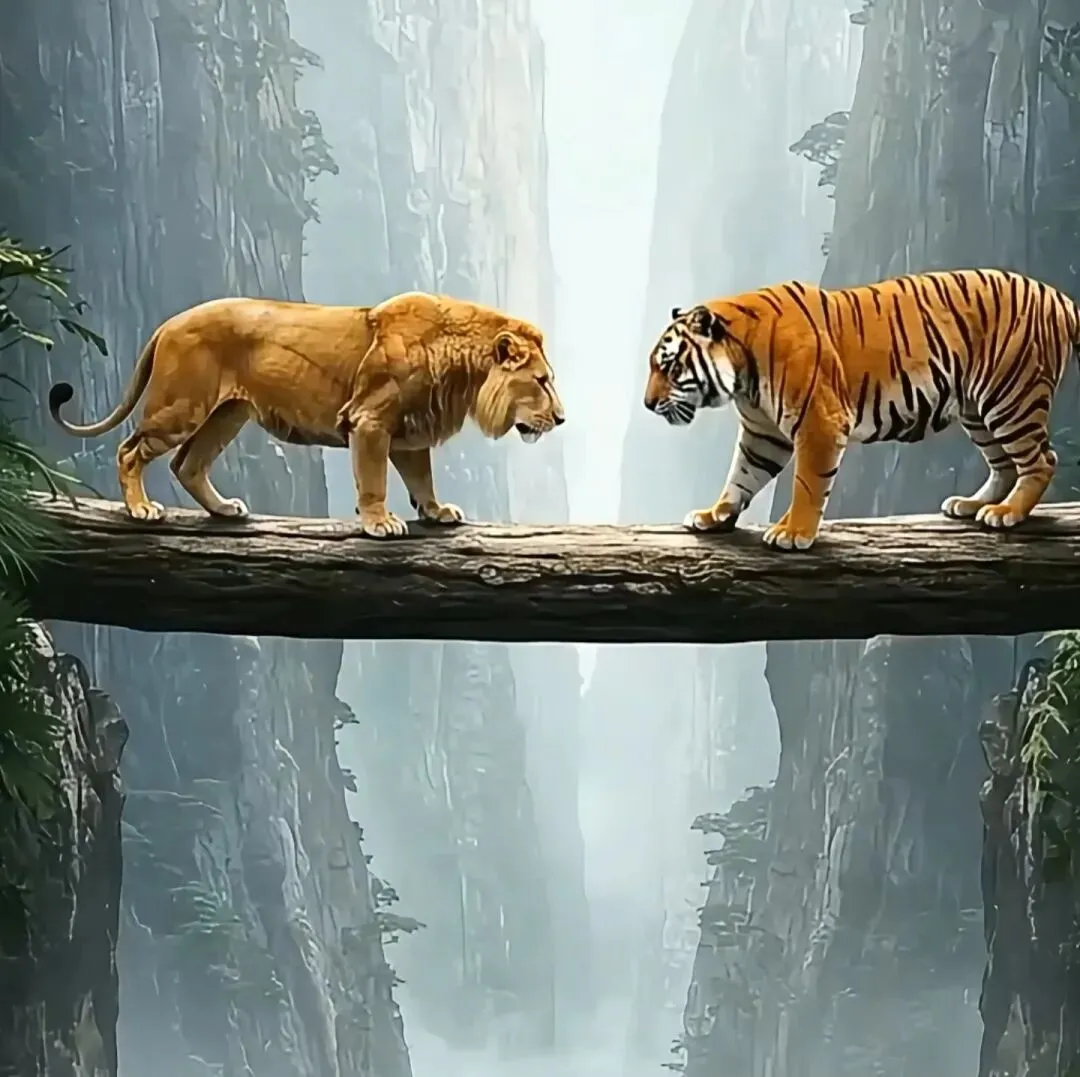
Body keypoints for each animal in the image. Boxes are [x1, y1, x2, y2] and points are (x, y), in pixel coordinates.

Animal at [642, 268, 1080, 550]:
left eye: (669, 365)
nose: (647, 404)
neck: (743, 373)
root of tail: (1060, 297)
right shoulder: (763, 433)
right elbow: (741, 475)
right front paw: (715, 515)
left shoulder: (819, 422)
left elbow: (807, 483)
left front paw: (793, 533)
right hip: (980, 409)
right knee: (1004, 464)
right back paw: (972, 505)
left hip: (1011, 397)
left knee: (1043, 460)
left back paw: (1007, 512)